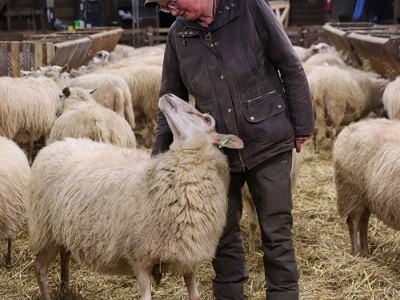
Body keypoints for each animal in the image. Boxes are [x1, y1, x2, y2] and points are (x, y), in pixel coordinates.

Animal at [27, 92, 244, 298]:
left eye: (207, 119)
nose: (169, 96)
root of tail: (54, 145)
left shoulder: (188, 261)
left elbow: (195, 295)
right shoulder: (140, 259)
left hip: (61, 229)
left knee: (64, 255)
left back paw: (65, 288)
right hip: (45, 229)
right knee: (40, 267)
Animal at [332, 117, 400, 255]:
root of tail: (350, 127)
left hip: (366, 198)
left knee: (363, 222)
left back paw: (366, 251)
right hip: (352, 192)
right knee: (353, 222)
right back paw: (356, 253)